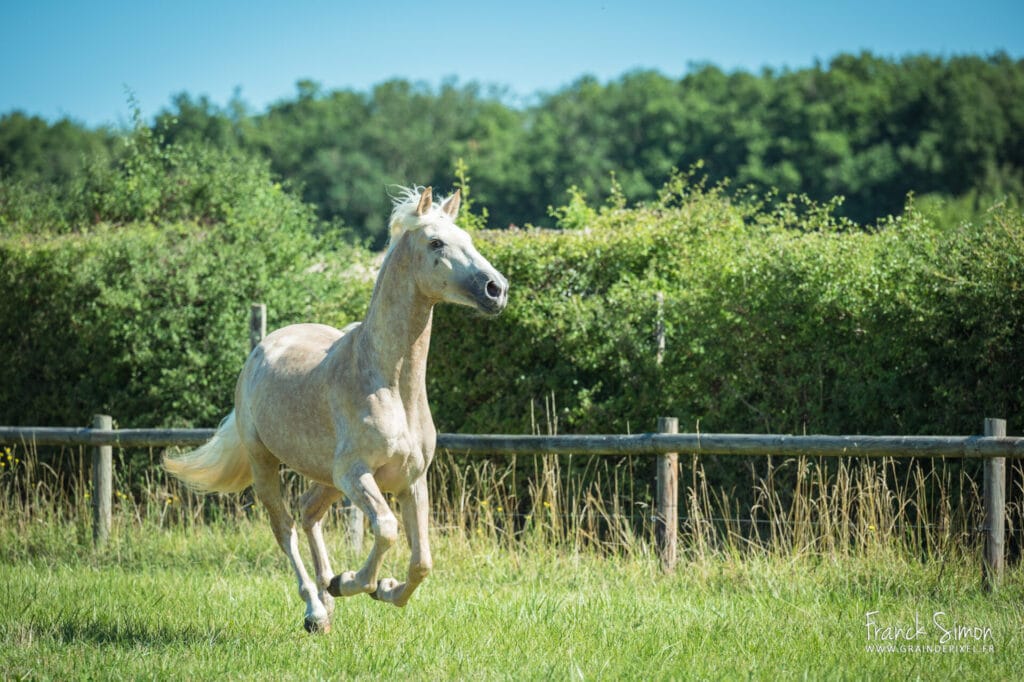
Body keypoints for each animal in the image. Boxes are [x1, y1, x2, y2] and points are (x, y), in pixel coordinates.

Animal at [164, 186, 508, 633]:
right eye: (436, 242)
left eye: (467, 237)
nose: (496, 289)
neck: (390, 384)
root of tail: (263, 347)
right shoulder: (356, 474)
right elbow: (387, 529)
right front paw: (353, 582)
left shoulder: (411, 480)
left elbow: (422, 562)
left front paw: (380, 588)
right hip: (267, 463)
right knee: (285, 527)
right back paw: (315, 606)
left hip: (326, 476)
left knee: (309, 513)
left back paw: (327, 599)